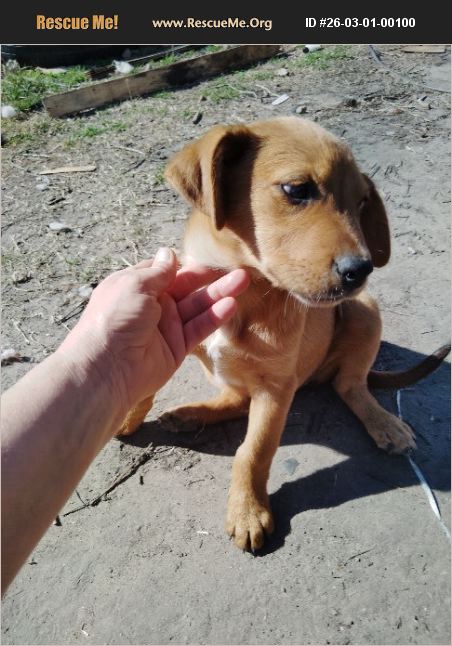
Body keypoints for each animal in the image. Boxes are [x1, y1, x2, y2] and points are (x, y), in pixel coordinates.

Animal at [118, 117, 450, 551]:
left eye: (362, 202)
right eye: (296, 190)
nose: (361, 270)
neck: (244, 290)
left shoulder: (276, 388)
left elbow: (253, 450)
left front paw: (247, 511)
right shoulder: (176, 333)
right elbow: (146, 385)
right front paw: (126, 418)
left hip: (364, 311)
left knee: (350, 385)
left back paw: (385, 423)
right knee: (237, 399)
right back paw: (190, 414)